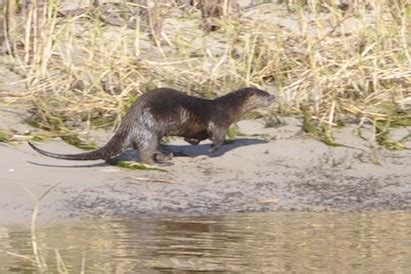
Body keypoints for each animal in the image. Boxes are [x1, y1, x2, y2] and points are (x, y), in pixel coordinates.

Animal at [27, 88, 276, 164]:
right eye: (264, 94)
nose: (274, 96)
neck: (227, 108)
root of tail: (128, 121)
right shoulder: (219, 121)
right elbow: (218, 138)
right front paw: (212, 151)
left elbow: (195, 137)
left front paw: (192, 142)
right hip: (150, 130)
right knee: (145, 155)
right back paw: (161, 162)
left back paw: (167, 156)